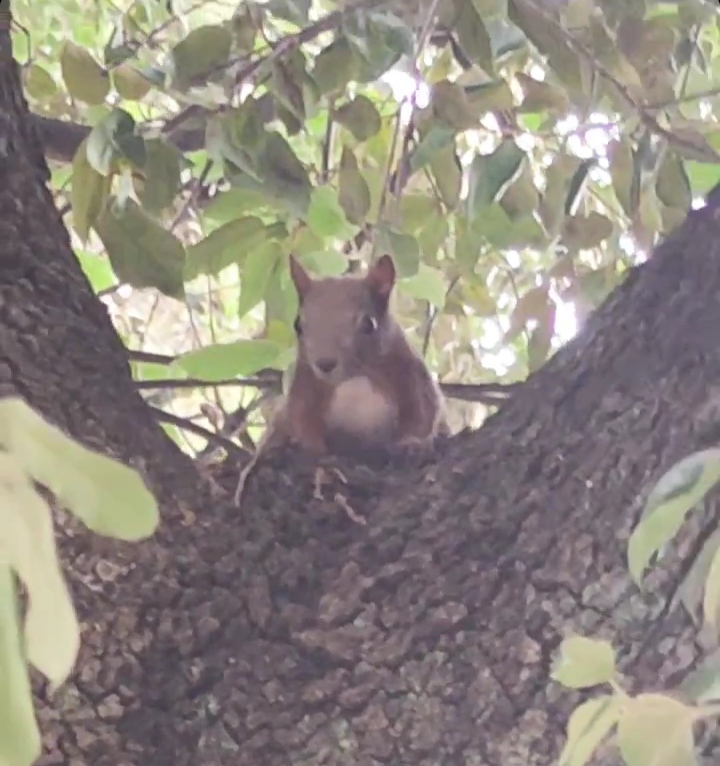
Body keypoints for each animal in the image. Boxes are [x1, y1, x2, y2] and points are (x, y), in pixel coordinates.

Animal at [233, 255, 448, 508]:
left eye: (368, 324)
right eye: (298, 325)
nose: (324, 364)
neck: (353, 378)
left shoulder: (409, 373)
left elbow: (422, 412)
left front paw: (411, 445)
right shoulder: (305, 385)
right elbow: (302, 419)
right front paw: (312, 450)